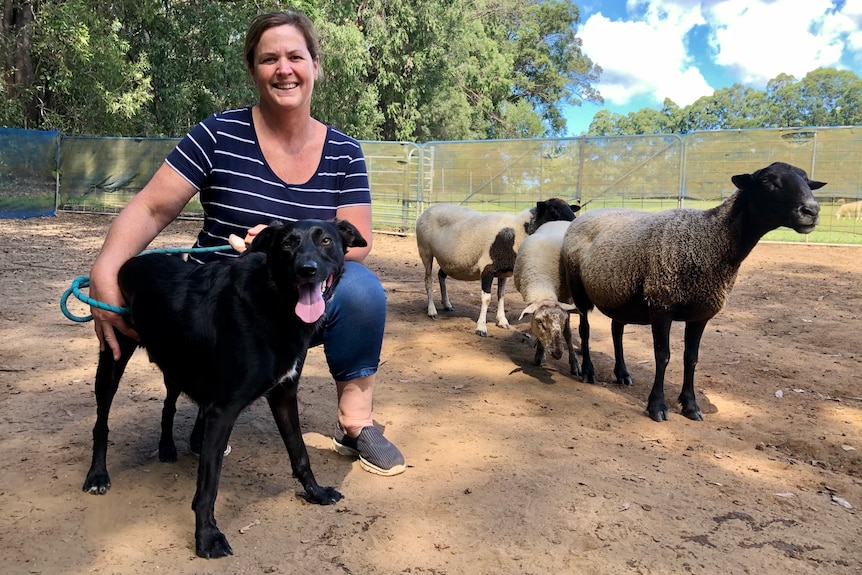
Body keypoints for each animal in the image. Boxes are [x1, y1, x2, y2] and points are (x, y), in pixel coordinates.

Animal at [82, 219, 364, 560]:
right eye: (287, 244)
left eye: (326, 241)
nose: (307, 269)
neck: (272, 303)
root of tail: (130, 261)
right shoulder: (223, 410)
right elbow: (208, 485)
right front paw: (207, 537)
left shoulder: (284, 395)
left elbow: (300, 453)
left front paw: (316, 492)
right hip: (114, 357)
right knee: (101, 423)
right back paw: (98, 475)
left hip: (176, 364)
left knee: (168, 405)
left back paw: (167, 447)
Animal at [416, 200, 580, 338]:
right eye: (553, 209)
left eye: (570, 207)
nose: (574, 222)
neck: (517, 232)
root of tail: (427, 210)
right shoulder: (487, 269)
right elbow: (487, 298)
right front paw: (481, 328)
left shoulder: (503, 272)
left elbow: (501, 295)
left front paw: (502, 321)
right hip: (425, 251)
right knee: (428, 279)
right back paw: (432, 311)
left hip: (448, 261)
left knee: (441, 275)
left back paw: (447, 304)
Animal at [516, 218, 576, 376]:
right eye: (539, 321)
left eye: (563, 320)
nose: (557, 353)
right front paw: (540, 355)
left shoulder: (565, 299)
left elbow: (568, 333)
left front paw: (575, 364)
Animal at [564, 162, 828, 424]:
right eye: (767, 180)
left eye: (807, 180)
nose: (811, 210)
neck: (710, 238)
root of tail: (586, 214)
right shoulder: (661, 303)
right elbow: (663, 356)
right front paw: (657, 406)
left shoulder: (701, 313)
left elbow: (691, 358)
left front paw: (690, 405)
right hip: (579, 289)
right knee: (585, 330)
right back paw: (588, 371)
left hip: (618, 291)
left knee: (616, 330)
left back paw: (622, 373)